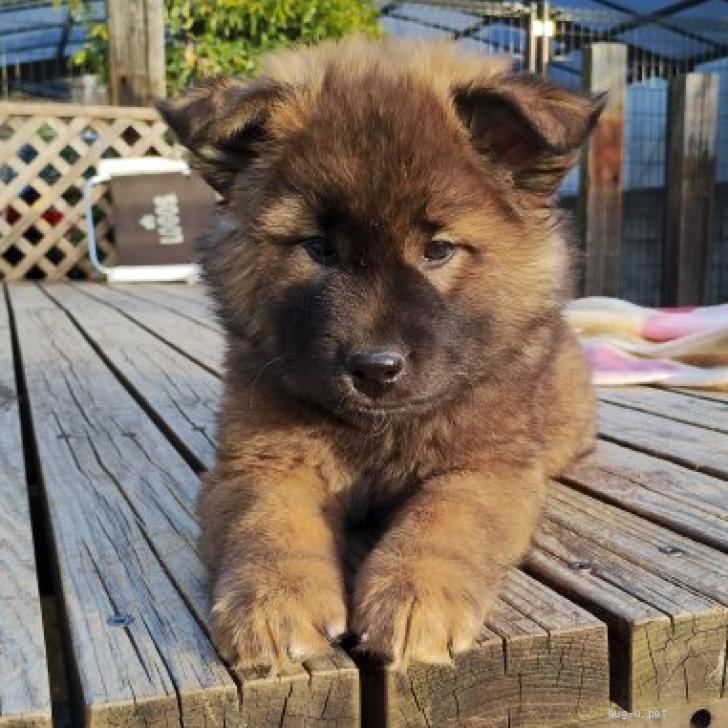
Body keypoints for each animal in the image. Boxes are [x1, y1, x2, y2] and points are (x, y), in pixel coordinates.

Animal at [159, 36, 601, 671]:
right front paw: (274, 601)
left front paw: (416, 595)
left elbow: (445, 519)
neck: (381, 433)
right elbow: (267, 522)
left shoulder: (488, 467)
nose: (375, 368)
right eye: (317, 248)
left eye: (438, 249)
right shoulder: (262, 460)